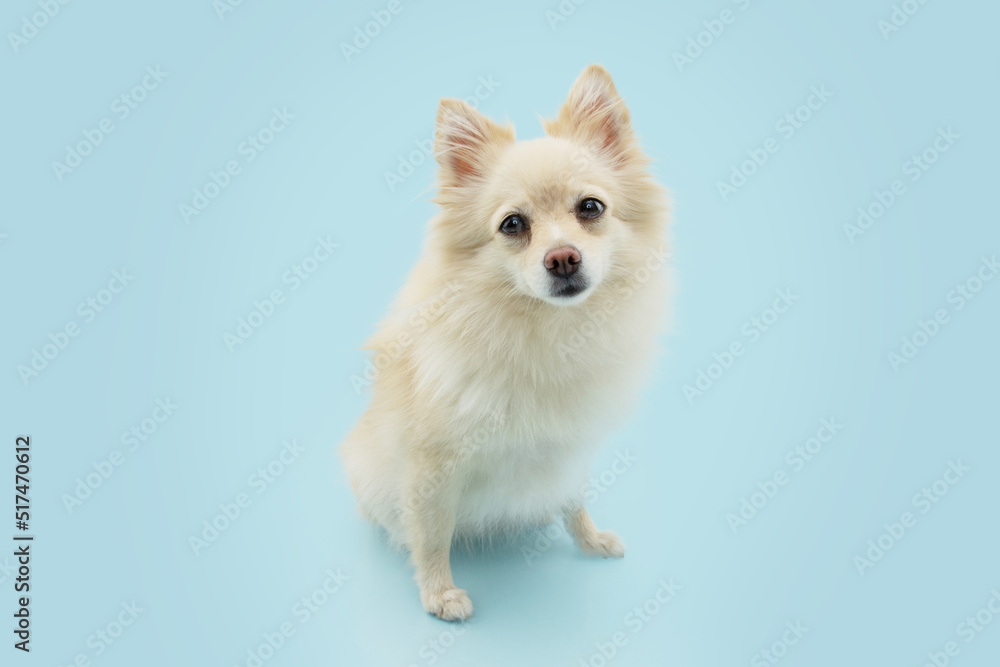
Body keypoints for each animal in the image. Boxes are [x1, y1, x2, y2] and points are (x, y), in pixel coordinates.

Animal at [340, 65, 668, 624]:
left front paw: (589, 539)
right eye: (513, 224)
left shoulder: (567, 449)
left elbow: (573, 499)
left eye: (591, 208)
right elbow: (430, 534)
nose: (563, 258)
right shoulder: (431, 465)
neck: (548, 331)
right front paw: (438, 593)